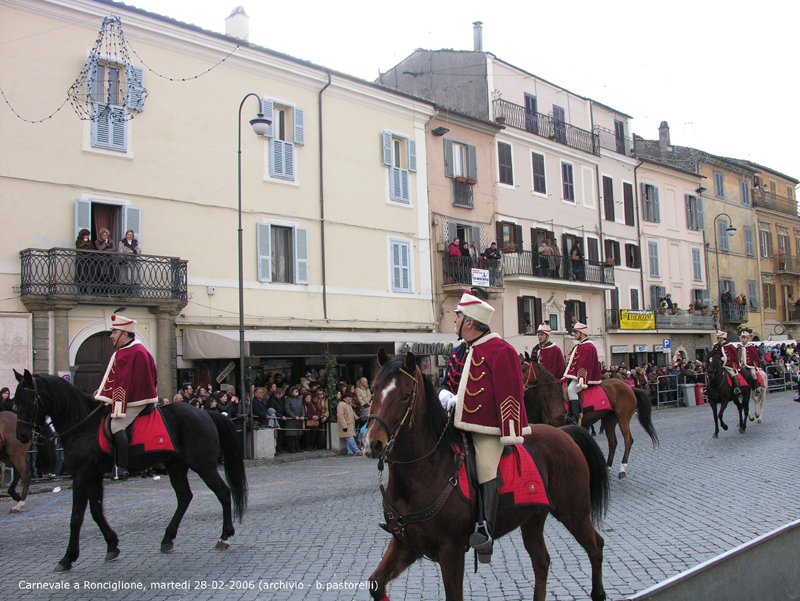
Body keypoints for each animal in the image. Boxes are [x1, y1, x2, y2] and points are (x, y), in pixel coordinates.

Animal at [11, 370, 244, 572]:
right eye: (14, 402)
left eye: (26, 400)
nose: (21, 436)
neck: (82, 424)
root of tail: (207, 414)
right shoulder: (94, 476)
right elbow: (96, 512)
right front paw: (112, 545)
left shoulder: (82, 476)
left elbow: (76, 517)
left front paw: (67, 558)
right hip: (176, 465)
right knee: (185, 497)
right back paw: (168, 538)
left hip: (203, 464)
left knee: (223, 492)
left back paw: (224, 536)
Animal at [362, 352, 608, 600]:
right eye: (373, 390)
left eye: (405, 396)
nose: (372, 443)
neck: (421, 473)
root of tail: (563, 433)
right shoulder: (405, 544)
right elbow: (376, 583)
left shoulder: (451, 551)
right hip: (533, 517)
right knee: (541, 562)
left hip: (573, 513)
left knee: (596, 546)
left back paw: (598, 592)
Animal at [520, 356, 656, 478]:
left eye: (524, 369)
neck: (553, 395)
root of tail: (630, 388)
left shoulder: (564, 425)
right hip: (609, 420)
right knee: (612, 442)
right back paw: (607, 467)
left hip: (623, 418)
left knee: (628, 440)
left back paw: (622, 469)